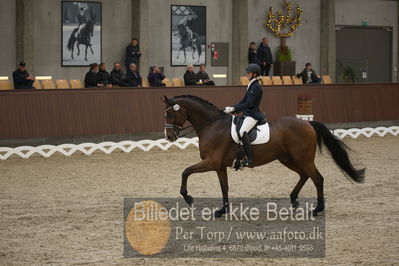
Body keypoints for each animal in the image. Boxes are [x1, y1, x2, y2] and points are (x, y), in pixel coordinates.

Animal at [162, 94, 366, 217]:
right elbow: (224, 187)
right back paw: (294, 199)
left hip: (304, 158)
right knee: (304, 175)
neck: (212, 125)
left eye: (169, 115)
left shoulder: (211, 162)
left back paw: (317, 208)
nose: (169, 137)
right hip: (287, 159)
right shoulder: (219, 166)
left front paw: (188, 197)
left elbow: (185, 171)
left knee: (317, 178)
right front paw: (223, 210)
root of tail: (307, 123)